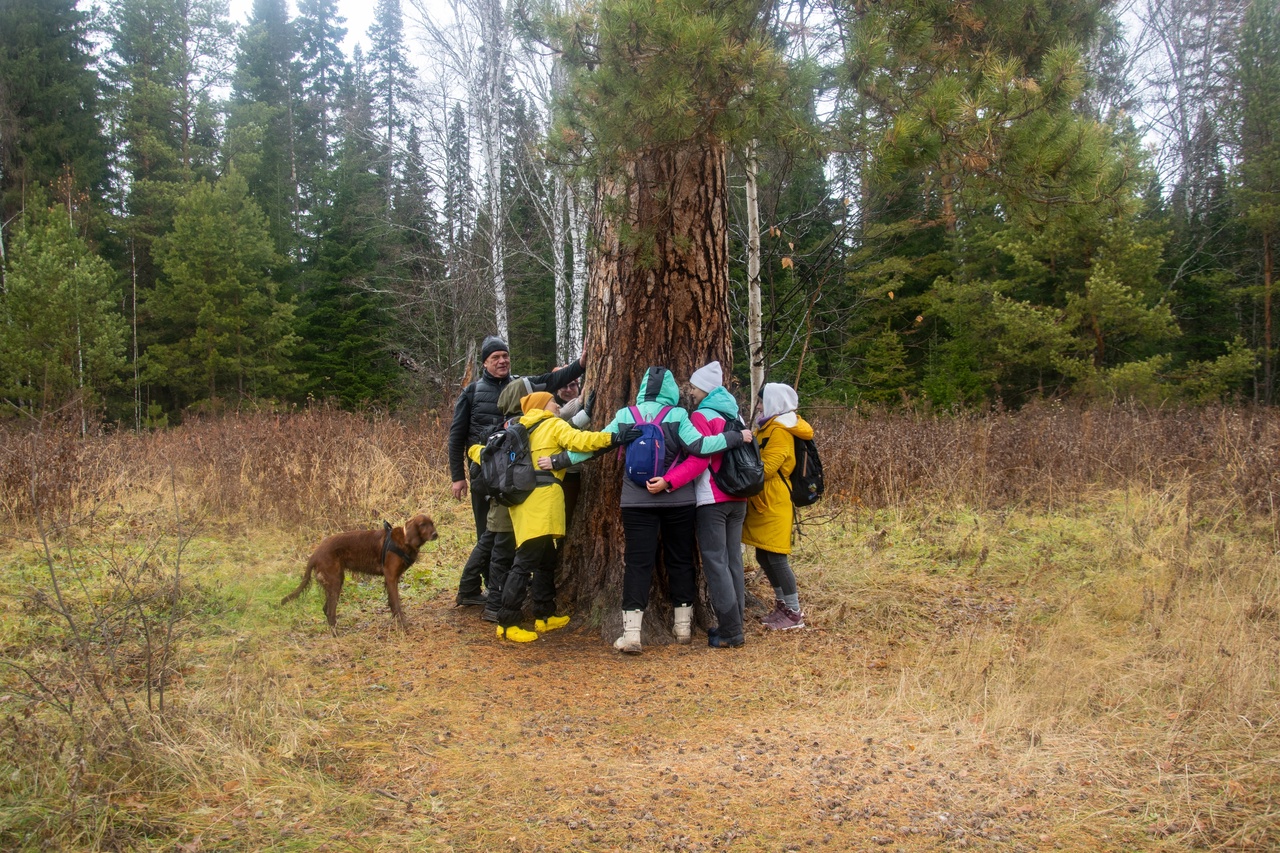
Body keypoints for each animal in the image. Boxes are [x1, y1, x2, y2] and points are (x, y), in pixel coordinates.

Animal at [281, 512, 437, 625]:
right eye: (422, 524)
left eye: (432, 523)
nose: (435, 534)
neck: (404, 540)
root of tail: (315, 553)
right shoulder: (391, 577)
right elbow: (397, 603)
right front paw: (403, 624)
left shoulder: (390, 579)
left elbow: (392, 603)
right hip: (335, 581)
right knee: (330, 611)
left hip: (335, 581)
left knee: (326, 609)